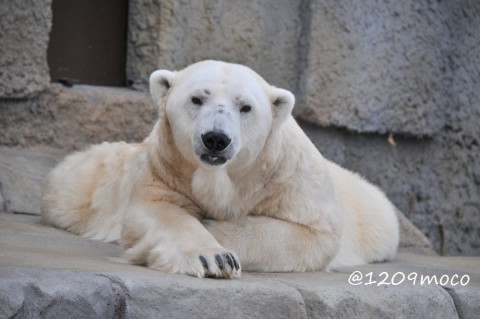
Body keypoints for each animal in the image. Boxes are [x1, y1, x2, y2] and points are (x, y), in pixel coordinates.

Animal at [42, 60, 398, 280]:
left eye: (246, 107)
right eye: (197, 99)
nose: (215, 138)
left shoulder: (291, 179)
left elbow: (310, 234)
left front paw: (216, 228)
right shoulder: (164, 167)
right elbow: (158, 210)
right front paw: (213, 258)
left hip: (373, 216)